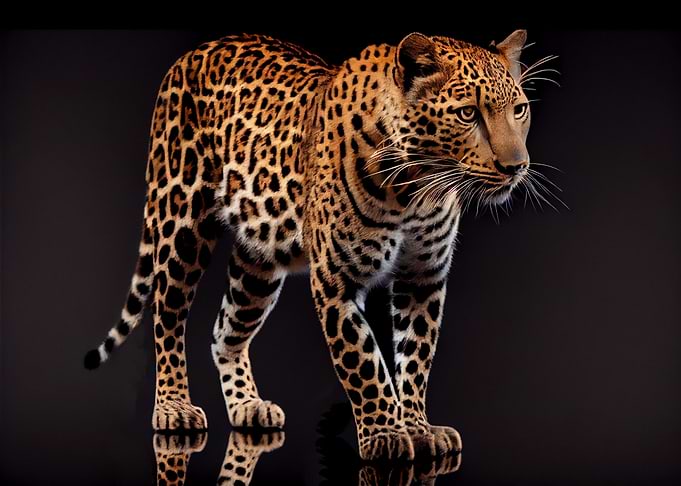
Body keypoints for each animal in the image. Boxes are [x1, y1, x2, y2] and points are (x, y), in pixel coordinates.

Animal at [84, 30, 532, 461]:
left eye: (520, 110)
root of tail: (191, 54)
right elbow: (364, 363)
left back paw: (247, 405)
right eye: (467, 113)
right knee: (167, 315)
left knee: (223, 330)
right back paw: (173, 407)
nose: (516, 167)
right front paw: (385, 436)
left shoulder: (423, 277)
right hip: (179, 221)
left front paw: (418, 429)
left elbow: (416, 356)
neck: (416, 188)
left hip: (258, 262)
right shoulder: (337, 282)